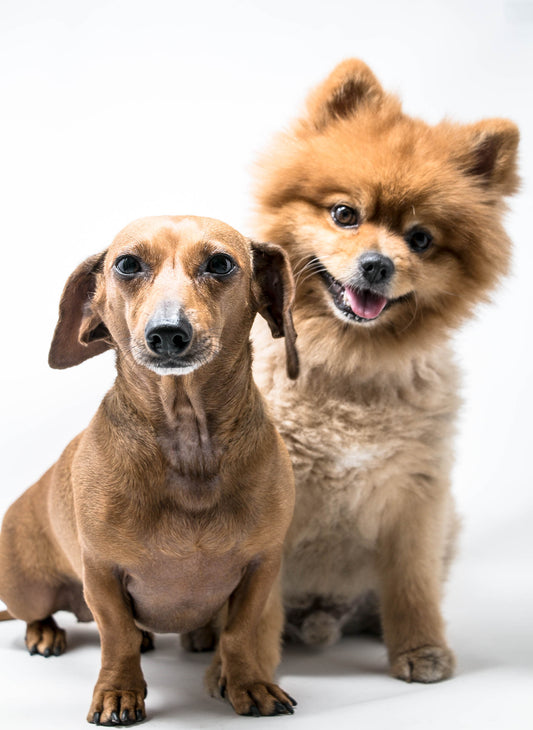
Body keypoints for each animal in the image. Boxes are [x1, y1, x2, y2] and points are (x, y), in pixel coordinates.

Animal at [0, 215, 300, 724]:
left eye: (221, 263)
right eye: (127, 264)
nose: (167, 333)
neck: (188, 441)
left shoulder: (263, 566)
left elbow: (240, 633)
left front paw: (249, 683)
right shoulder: (101, 571)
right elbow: (116, 635)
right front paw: (118, 693)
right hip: (28, 589)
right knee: (40, 614)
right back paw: (45, 633)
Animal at [251, 59, 516, 680]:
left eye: (420, 239)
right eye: (345, 214)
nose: (377, 264)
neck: (351, 363)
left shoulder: (416, 498)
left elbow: (413, 585)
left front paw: (421, 649)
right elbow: (255, 608)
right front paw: (248, 671)